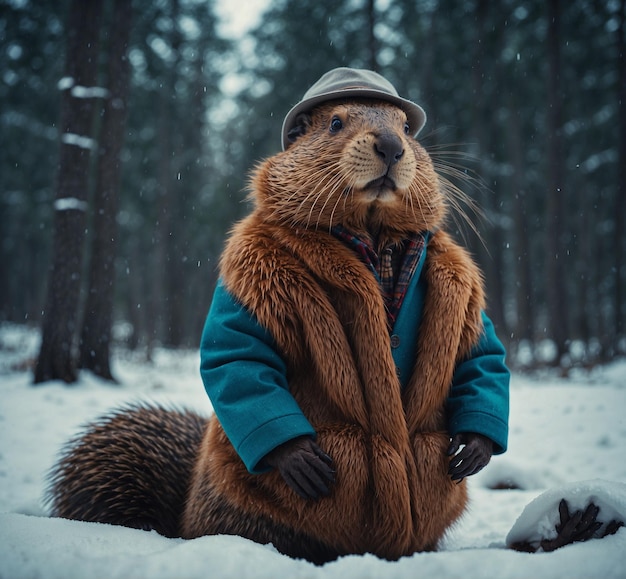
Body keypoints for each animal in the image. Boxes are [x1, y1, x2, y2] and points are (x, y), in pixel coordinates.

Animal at [47, 67, 508, 560]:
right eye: (335, 122)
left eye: (406, 126)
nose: (390, 145)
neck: (373, 235)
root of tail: (184, 519)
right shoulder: (252, 263)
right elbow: (241, 354)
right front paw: (299, 457)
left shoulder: (457, 274)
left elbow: (482, 353)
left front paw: (474, 447)